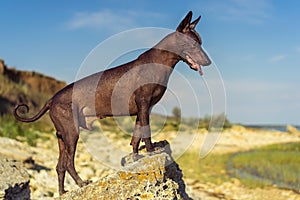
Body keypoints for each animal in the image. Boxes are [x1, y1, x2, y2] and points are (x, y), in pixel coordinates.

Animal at [14, 11, 211, 195]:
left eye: (201, 43)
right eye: (194, 44)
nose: (208, 62)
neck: (159, 61)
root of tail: (51, 100)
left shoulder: (142, 110)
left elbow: (136, 137)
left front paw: (136, 157)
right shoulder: (144, 104)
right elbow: (146, 134)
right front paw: (151, 150)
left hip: (62, 136)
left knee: (60, 166)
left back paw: (63, 192)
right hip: (71, 133)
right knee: (69, 163)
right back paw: (81, 183)